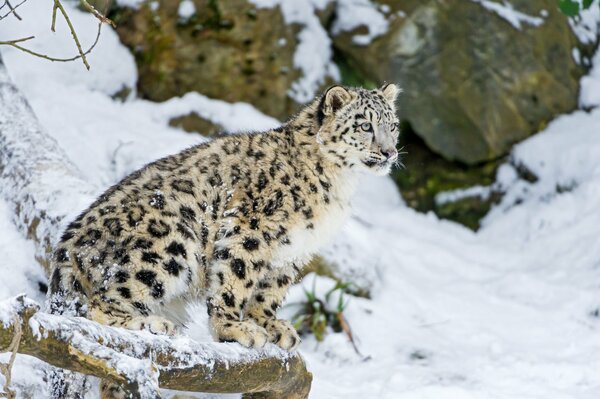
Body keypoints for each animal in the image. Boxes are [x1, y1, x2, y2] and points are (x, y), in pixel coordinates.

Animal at [49, 83, 400, 396]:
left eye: (393, 126)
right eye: (366, 125)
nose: (389, 152)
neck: (339, 183)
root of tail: (66, 249)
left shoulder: (292, 251)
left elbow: (269, 291)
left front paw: (272, 326)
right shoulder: (251, 227)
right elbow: (236, 278)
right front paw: (234, 328)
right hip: (171, 241)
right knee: (101, 304)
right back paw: (149, 324)